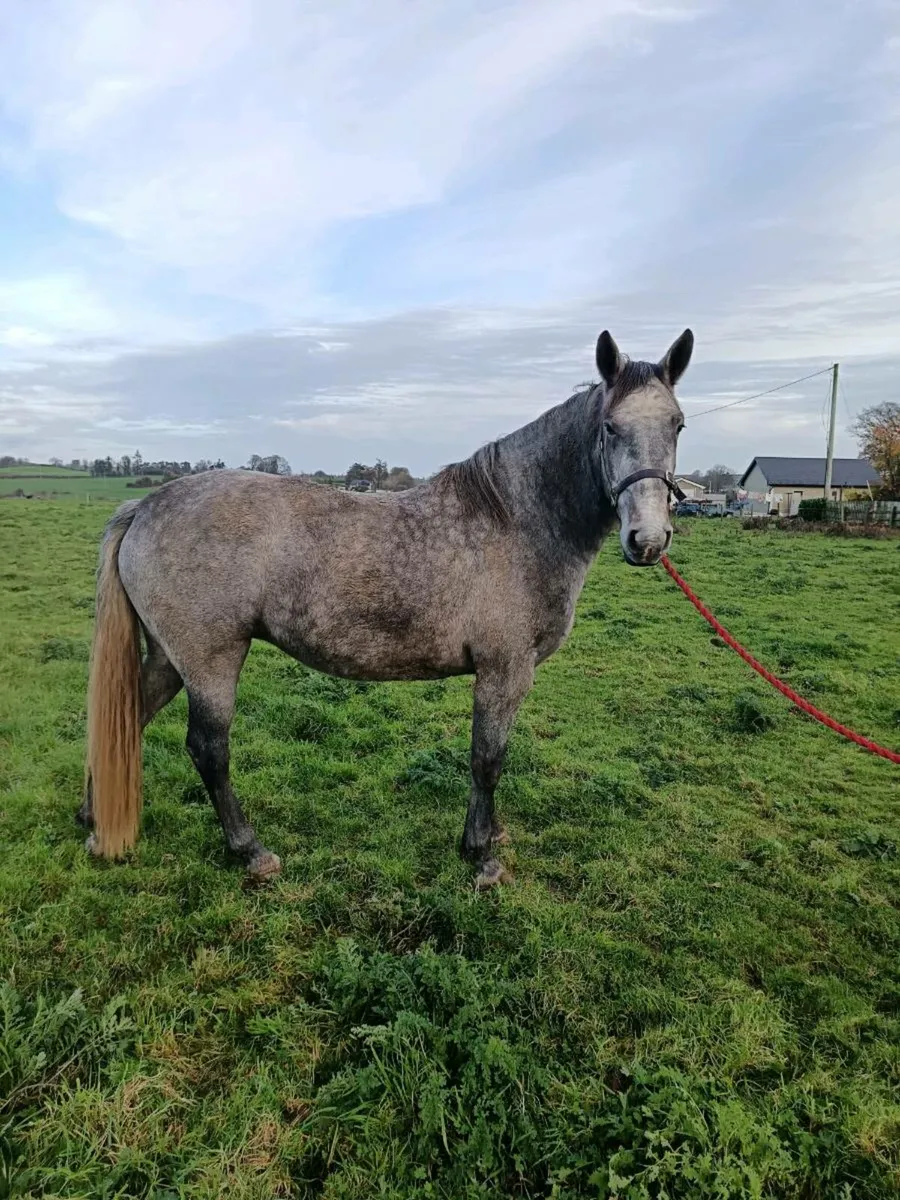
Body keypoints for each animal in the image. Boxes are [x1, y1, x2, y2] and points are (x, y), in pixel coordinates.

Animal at [80, 327, 693, 888]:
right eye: (609, 427)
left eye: (678, 424)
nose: (647, 540)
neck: (515, 521)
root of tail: (145, 506)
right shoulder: (504, 671)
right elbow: (487, 760)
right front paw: (480, 856)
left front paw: (490, 836)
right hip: (211, 660)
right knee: (208, 750)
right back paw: (250, 851)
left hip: (169, 657)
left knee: (126, 719)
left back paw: (92, 819)